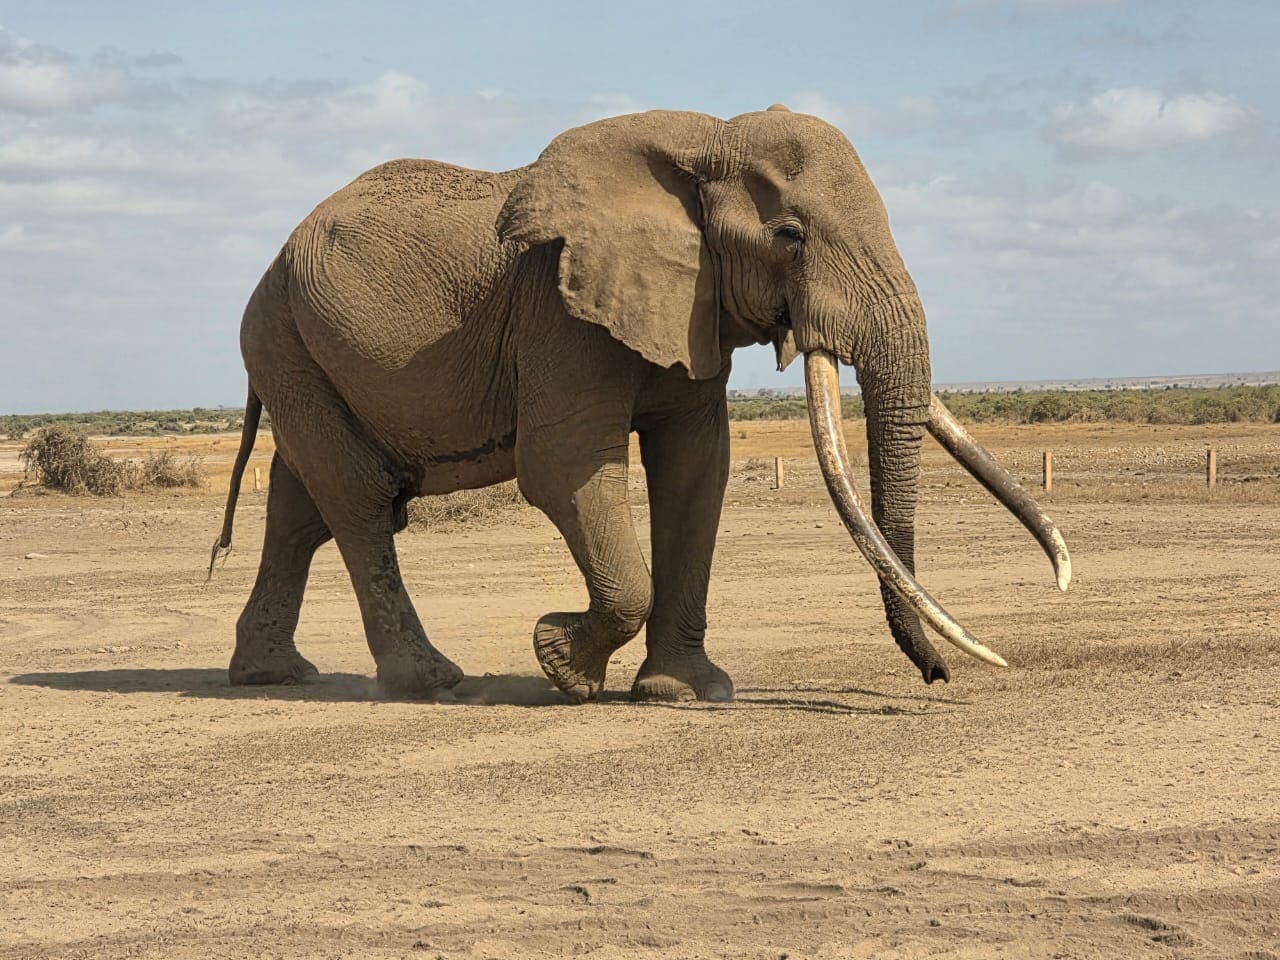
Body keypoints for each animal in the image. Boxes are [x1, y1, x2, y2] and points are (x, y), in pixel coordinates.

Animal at [211, 104, 1071, 703]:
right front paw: (561, 662)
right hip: (281, 337)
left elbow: (696, 469)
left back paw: (272, 675)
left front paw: (688, 693)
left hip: (299, 349)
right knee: (357, 499)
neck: (707, 139)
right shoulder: (558, 309)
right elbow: (562, 469)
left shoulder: (690, 307)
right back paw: (429, 682)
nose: (937, 679)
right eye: (790, 235)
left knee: (302, 507)